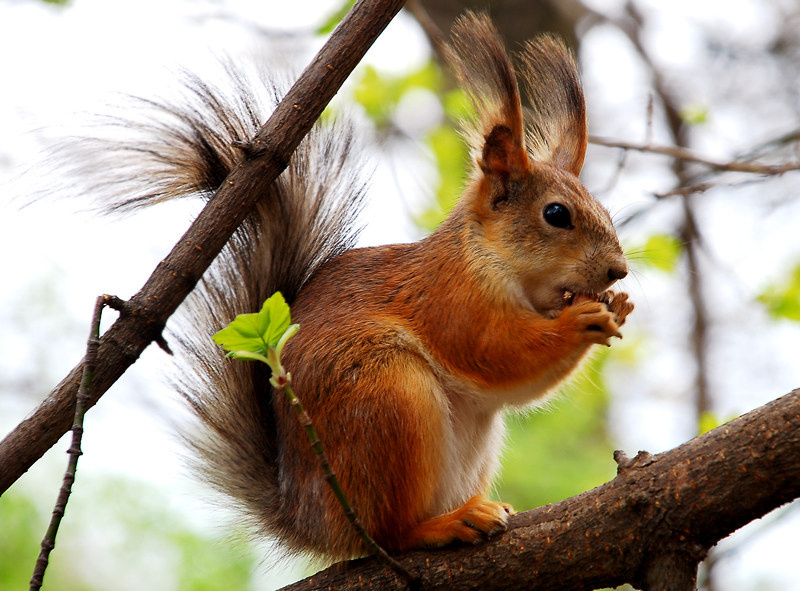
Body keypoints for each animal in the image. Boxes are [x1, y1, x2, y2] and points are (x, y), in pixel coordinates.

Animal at [82, 12, 632, 562]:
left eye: (604, 211)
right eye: (556, 214)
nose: (618, 271)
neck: (490, 261)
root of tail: (314, 522)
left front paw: (618, 306)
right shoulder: (452, 300)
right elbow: (499, 353)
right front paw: (581, 321)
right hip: (388, 399)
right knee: (390, 532)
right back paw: (445, 524)